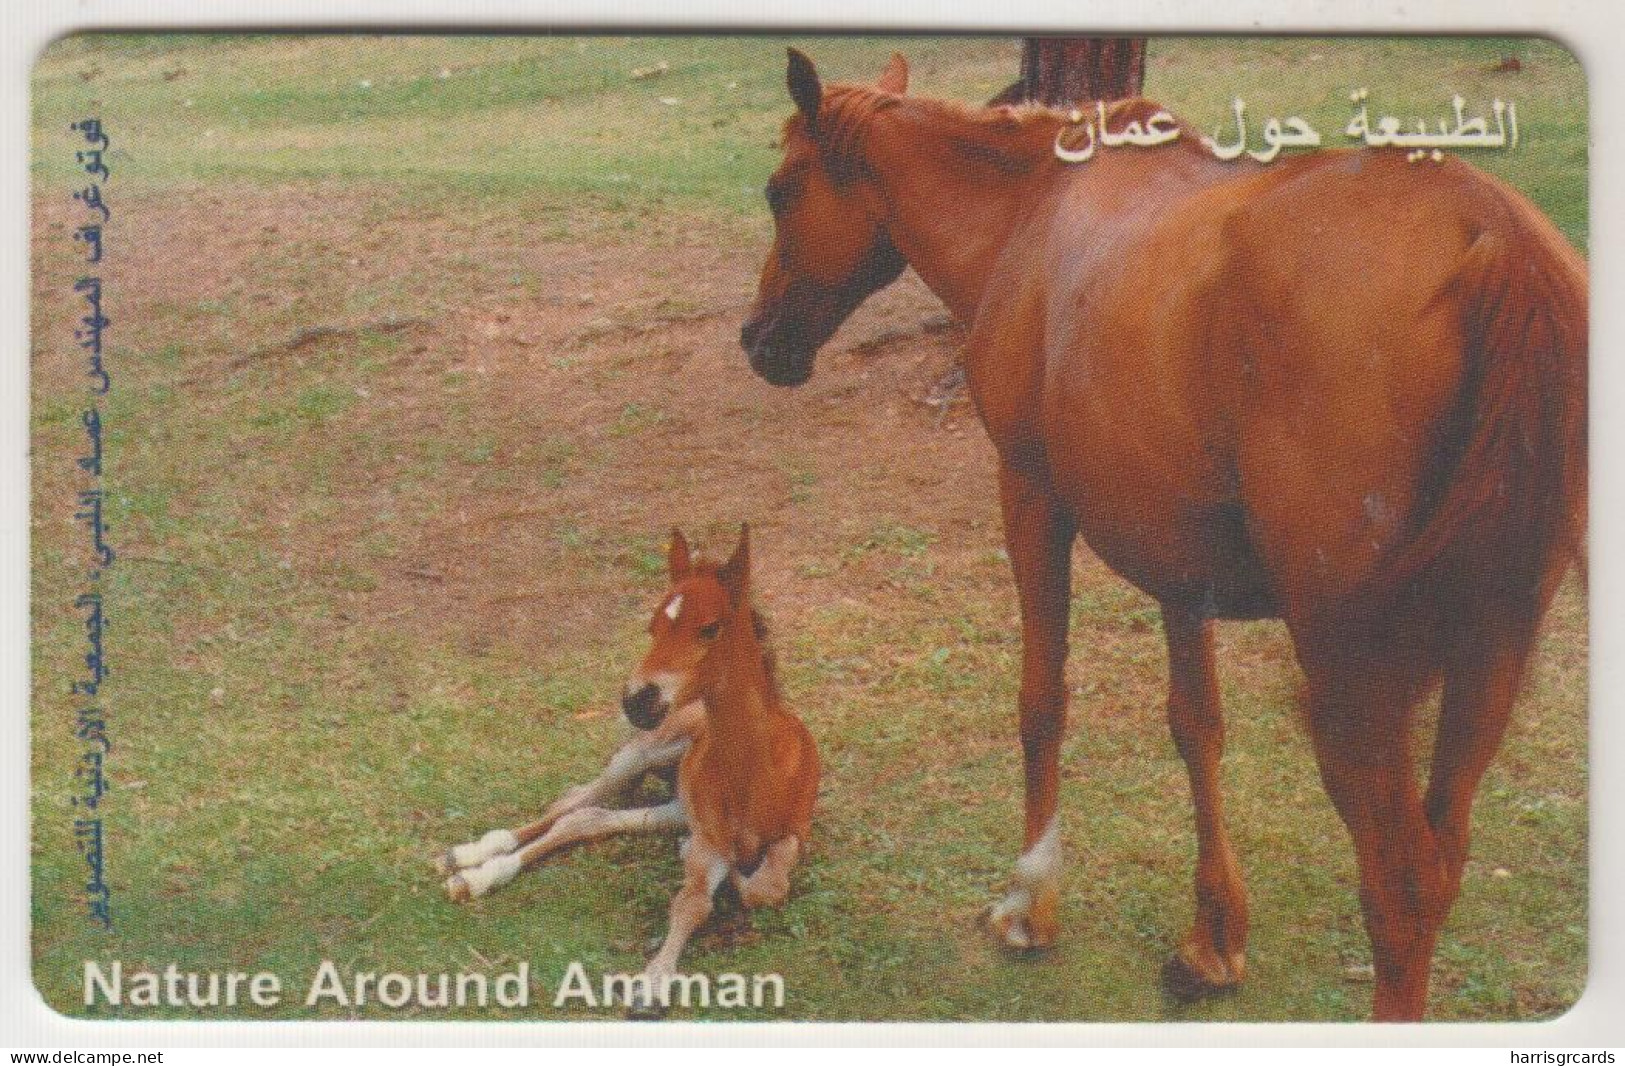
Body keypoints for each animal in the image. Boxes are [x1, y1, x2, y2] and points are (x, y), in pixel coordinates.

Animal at [744, 45, 1586, 1020]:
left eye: (778, 191)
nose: (757, 340)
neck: (1027, 212)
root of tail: (1491, 234)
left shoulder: (1030, 492)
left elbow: (1041, 697)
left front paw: (1031, 900)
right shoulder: (1182, 561)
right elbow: (1197, 725)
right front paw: (1211, 940)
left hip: (1354, 665)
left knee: (1400, 882)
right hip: (1492, 648)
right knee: (1442, 858)